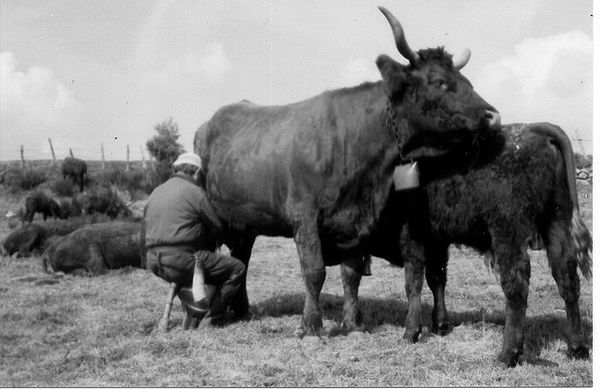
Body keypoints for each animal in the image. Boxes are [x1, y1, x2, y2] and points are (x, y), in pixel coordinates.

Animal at [193, 6, 502, 334]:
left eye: (467, 81)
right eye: (439, 81)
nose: (493, 115)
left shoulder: (352, 225)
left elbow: (351, 273)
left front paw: (352, 323)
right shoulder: (304, 216)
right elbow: (314, 271)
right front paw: (311, 326)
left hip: (246, 223)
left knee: (243, 257)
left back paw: (242, 310)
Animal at [368, 123, 592, 366]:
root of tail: (535, 130)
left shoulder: (412, 238)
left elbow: (413, 284)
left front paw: (411, 332)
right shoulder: (438, 242)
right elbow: (437, 280)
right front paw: (440, 325)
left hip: (507, 232)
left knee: (517, 285)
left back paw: (507, 354)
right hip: (557, 223)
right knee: (567, 279)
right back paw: (577, 347)